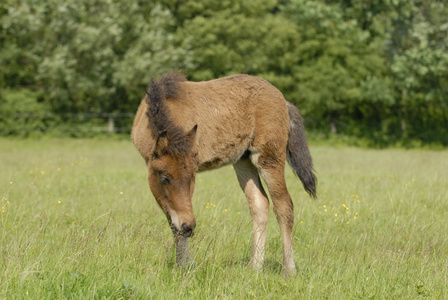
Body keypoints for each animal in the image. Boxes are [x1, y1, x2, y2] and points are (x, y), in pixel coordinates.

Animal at [131, 72, 316, 276]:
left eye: (192, 177)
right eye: (164, 178)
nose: (189, 227)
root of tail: (282, 99)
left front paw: (185, 265)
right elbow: (173, 219)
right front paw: (183, 266)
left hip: (269, 157)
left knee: (284, 206)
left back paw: (289, 270)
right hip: (243, 160)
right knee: (260, 204)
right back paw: (254, 267)